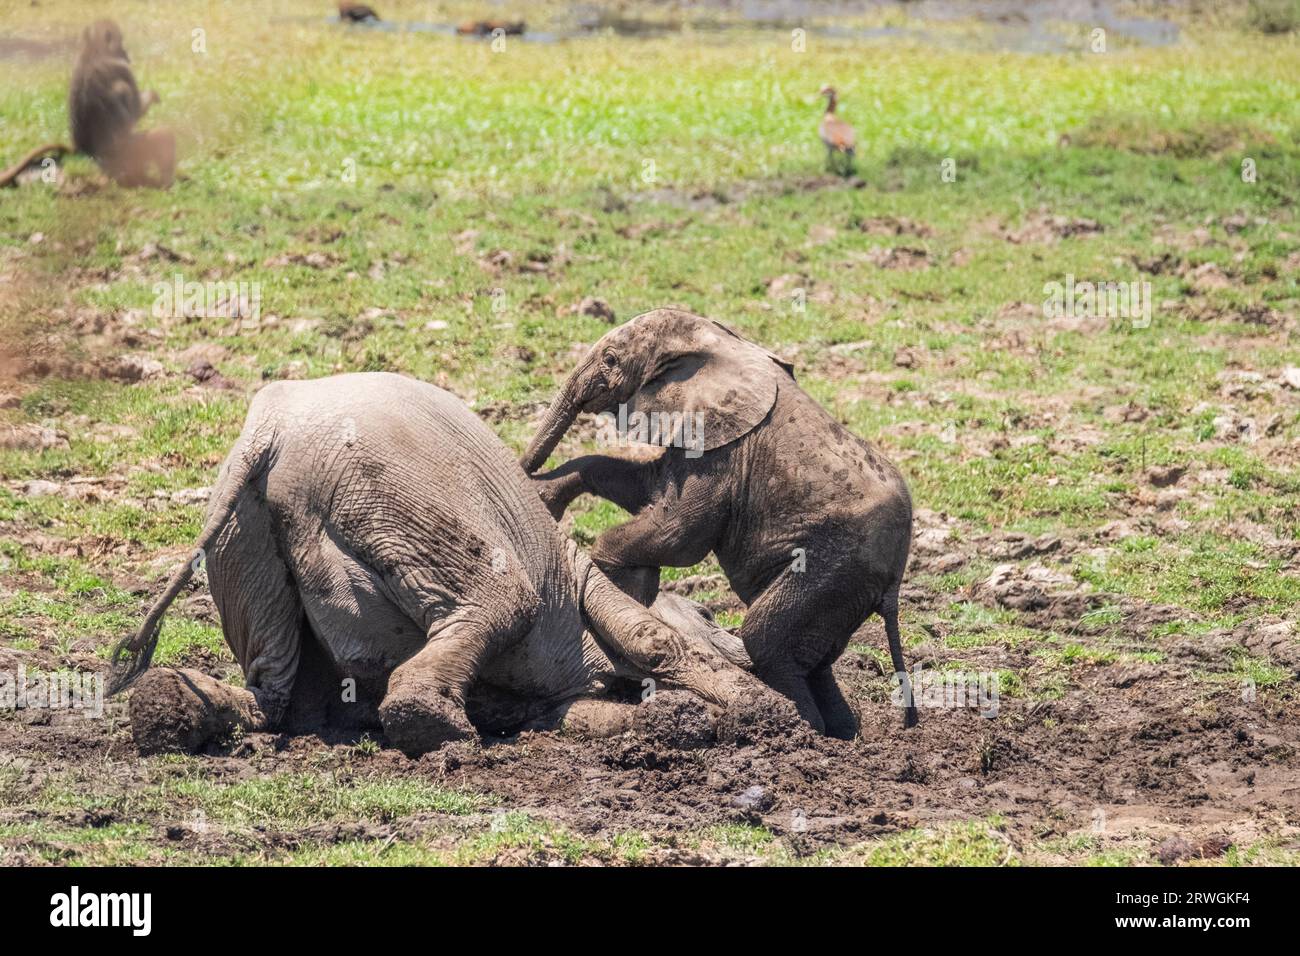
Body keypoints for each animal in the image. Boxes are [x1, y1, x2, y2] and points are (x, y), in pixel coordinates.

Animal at [109, 371, 780, 754]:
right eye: (708, 615)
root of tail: (266, 433)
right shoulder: (580, 570)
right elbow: (650, 639)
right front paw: (759, 713)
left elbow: (573, 714)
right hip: (399, 488)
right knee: (504, 599)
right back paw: (442, 734)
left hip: (239, 530)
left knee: (271, 686)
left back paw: (166, 708)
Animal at [517, 310, 915, 738]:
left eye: (610, 359)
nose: (522, 469)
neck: (718, 343)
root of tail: (894, 584)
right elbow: (647, 488)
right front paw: (545, 497)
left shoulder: (723, 449)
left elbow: (681, 533)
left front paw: (624, 580)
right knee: (814, 660)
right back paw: (842, 733)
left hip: (837, 566)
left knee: (765, 638)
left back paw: (801, 729)